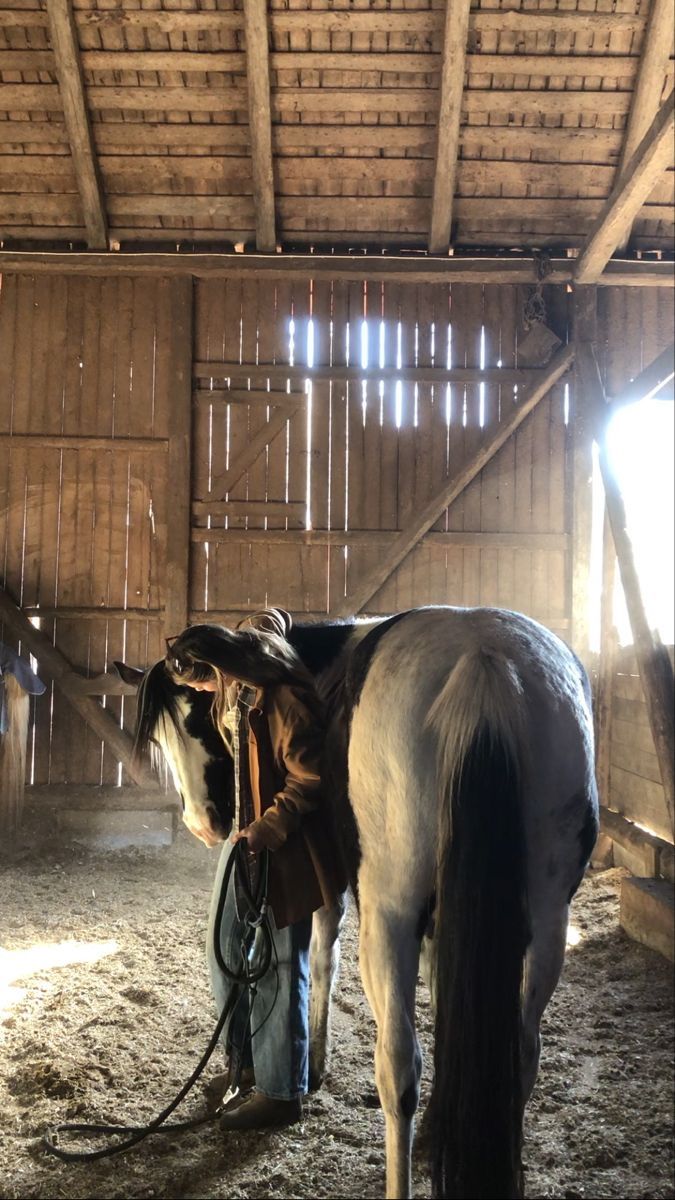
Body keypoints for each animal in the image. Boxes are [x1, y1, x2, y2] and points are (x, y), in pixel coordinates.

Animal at [118, 609, 595, 1200]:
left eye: (198, 723)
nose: (205, 824)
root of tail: (486, 666)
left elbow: (322, 957)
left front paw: (313, 1067)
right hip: (548, 925)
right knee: (521, 1057)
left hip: (389, 924)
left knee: (398, 1069)